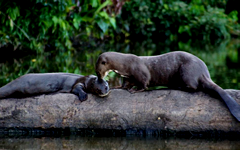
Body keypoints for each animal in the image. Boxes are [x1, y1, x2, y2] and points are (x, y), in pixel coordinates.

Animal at [95, 51, 240, 121]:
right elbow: (125, 83)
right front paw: (119, 87)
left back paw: (176, 87)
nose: (99, 79)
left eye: (98, 72)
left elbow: (144, 83)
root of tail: (203, 72)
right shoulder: (127, 76)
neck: (125, 64)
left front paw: (135, 90)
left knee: (193, 87)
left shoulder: (141, 72)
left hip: (187, 72)